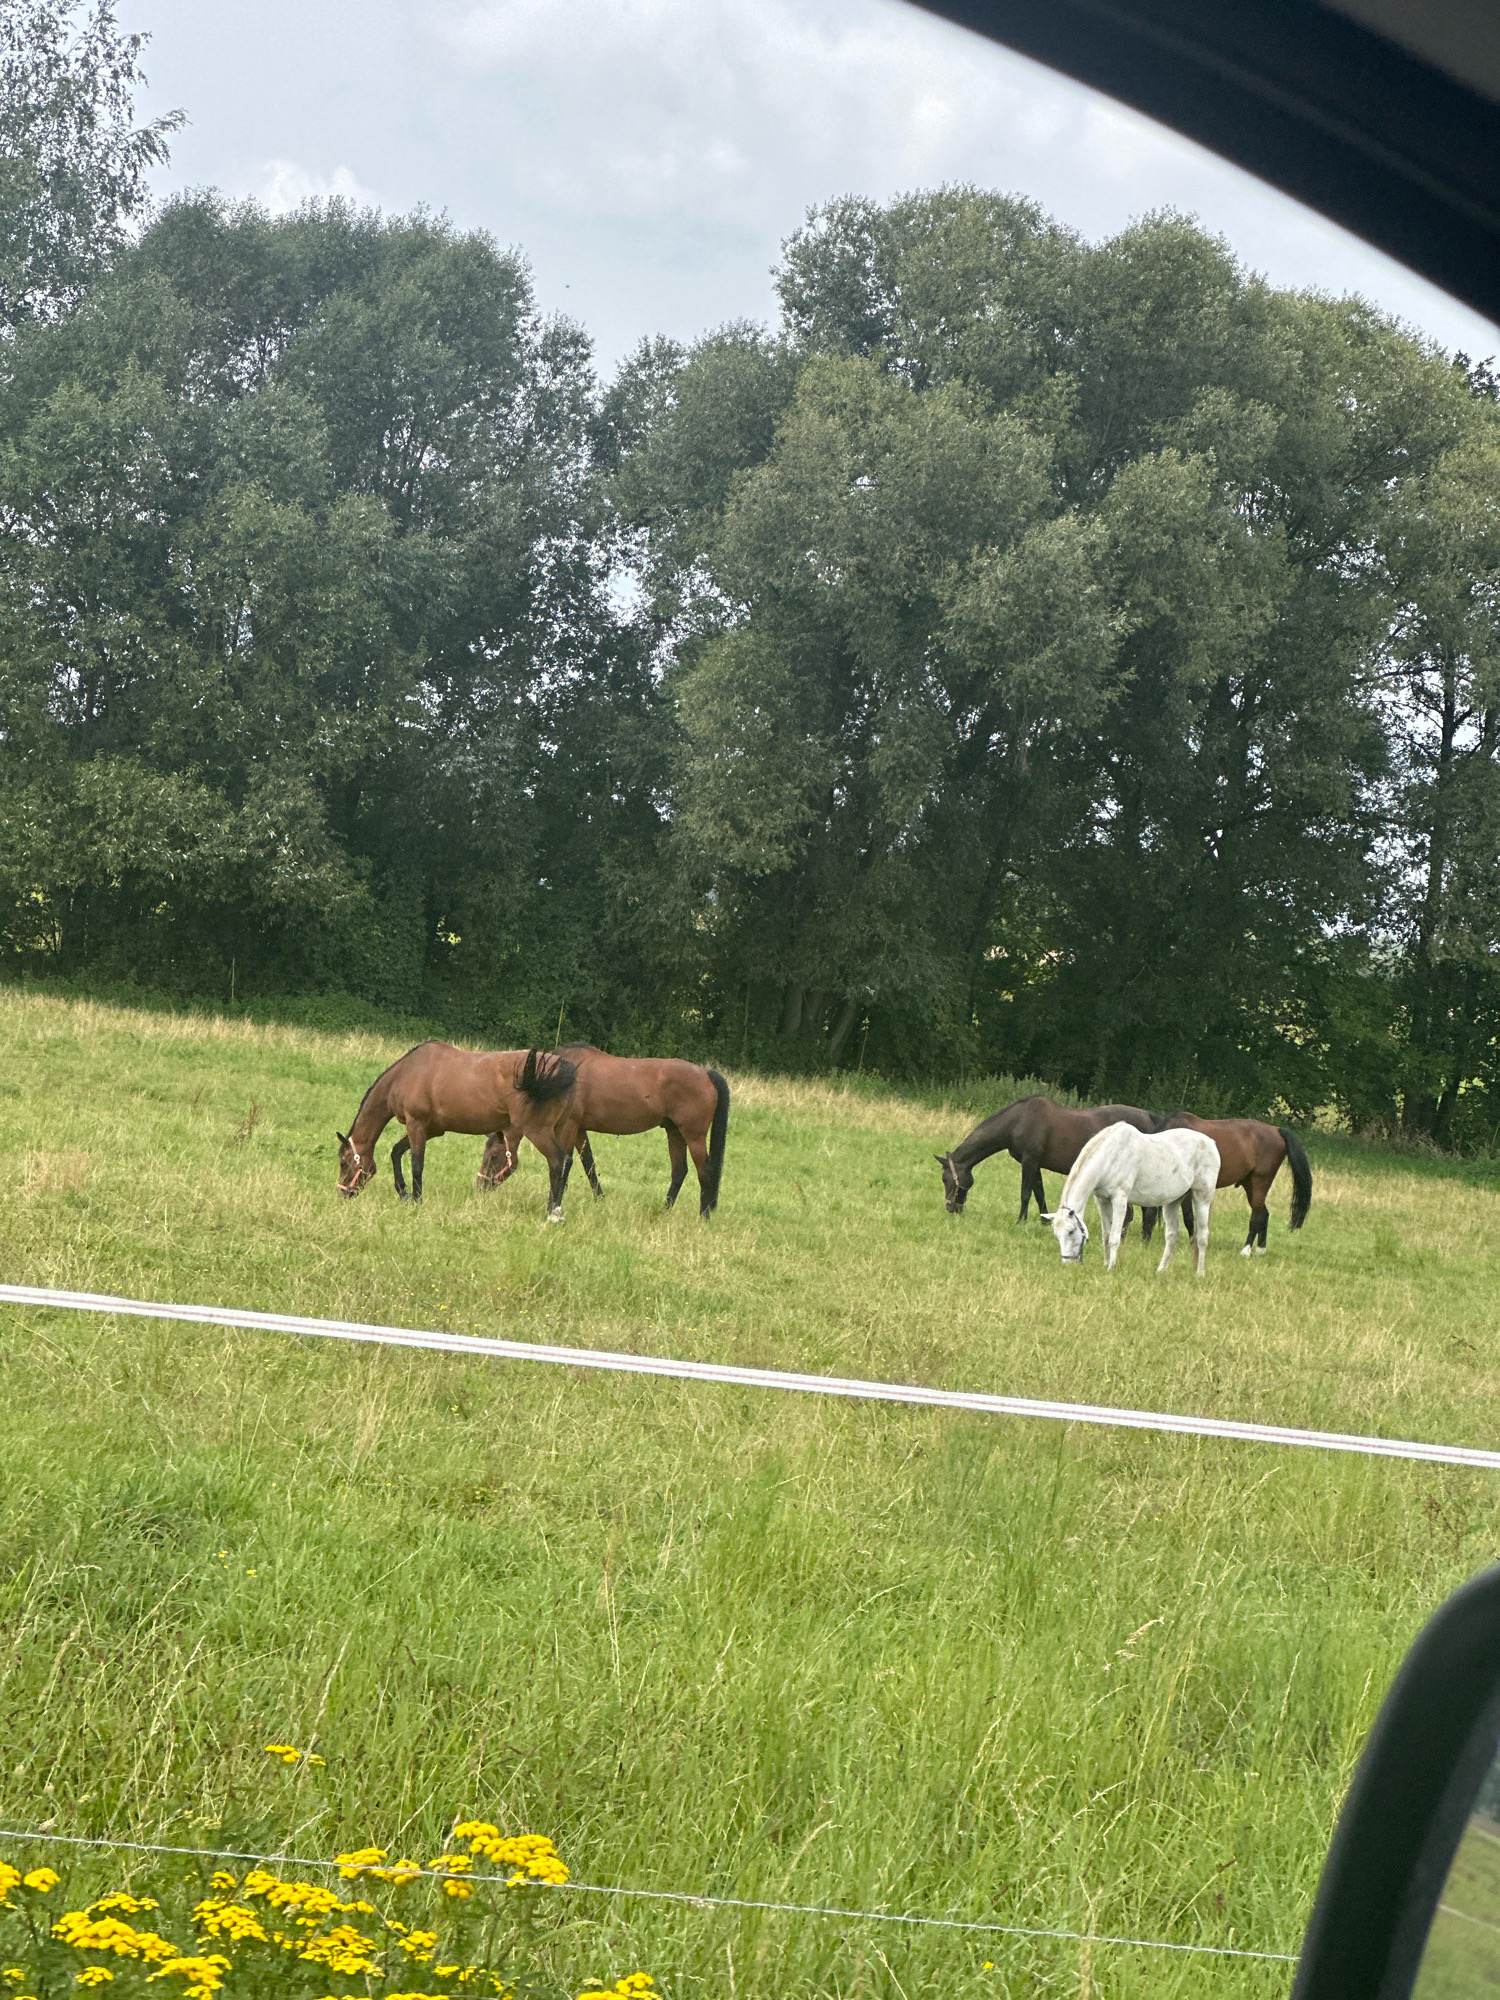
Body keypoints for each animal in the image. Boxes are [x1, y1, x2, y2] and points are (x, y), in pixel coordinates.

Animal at [336, 1041, 576, 1207]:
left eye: (344, 1163)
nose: (342, 1192)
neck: (405, 1074)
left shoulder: (416, 1125)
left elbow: (416, 1164)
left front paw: (416, 1199)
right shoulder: (432, 1129)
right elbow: (396, 1152)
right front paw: (403, 1193)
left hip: (537, 1131)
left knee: (557, 1160)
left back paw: (552, 1212)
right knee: (566, 1160)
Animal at [479, 1043, 730, 1220]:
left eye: (493, 1156)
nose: (480, 1186)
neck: (555, 1079)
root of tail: (706, 1074)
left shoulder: (569, 1126)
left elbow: (565, 1163)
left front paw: (556, 1205)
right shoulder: (579, 1129)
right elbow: (588, 1165)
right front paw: (600, 1200)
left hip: (693, 1136)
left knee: (705, 1172)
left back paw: (704, 1216)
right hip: (675, 1132)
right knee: (679, 1171)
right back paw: (664, 1211)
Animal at [936, 1095, 1157, 1220]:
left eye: (946, 1179)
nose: (950, 1207)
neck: (1018, 1121)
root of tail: (1149, 1117)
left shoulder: (1029, 1161)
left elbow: (1025, 1193)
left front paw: (1020, 1220)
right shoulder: (1035, 1164)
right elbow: (1039, 1193)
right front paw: (1044, 1219)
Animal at [1044, 1123, 1221, 1274]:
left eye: (1071, 1231)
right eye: (1056, 1234)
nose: (1068, 1263)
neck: (1111, 1156)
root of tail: (1211, 1143)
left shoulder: (1120, 1199)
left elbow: (1114, 1237)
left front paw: (1111, 1268)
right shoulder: (1102, 1200)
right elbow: (1106, 1235)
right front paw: (1105, 1264)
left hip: (1202, 1198)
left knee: (1202, 1236)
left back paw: (1200, 1273)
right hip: (1173, 1201)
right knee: (1172, 1235)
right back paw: (1161, 1270)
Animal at [1140, 1116, 1312, 1255]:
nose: (1143, 1241)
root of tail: (1276, 1130)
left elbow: (1188, 1217)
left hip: (1260, 1182)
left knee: (1257, 1215)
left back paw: (1246, 1250)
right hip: (1250, 1184)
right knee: (1264, 1213)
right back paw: (1260, 1249)